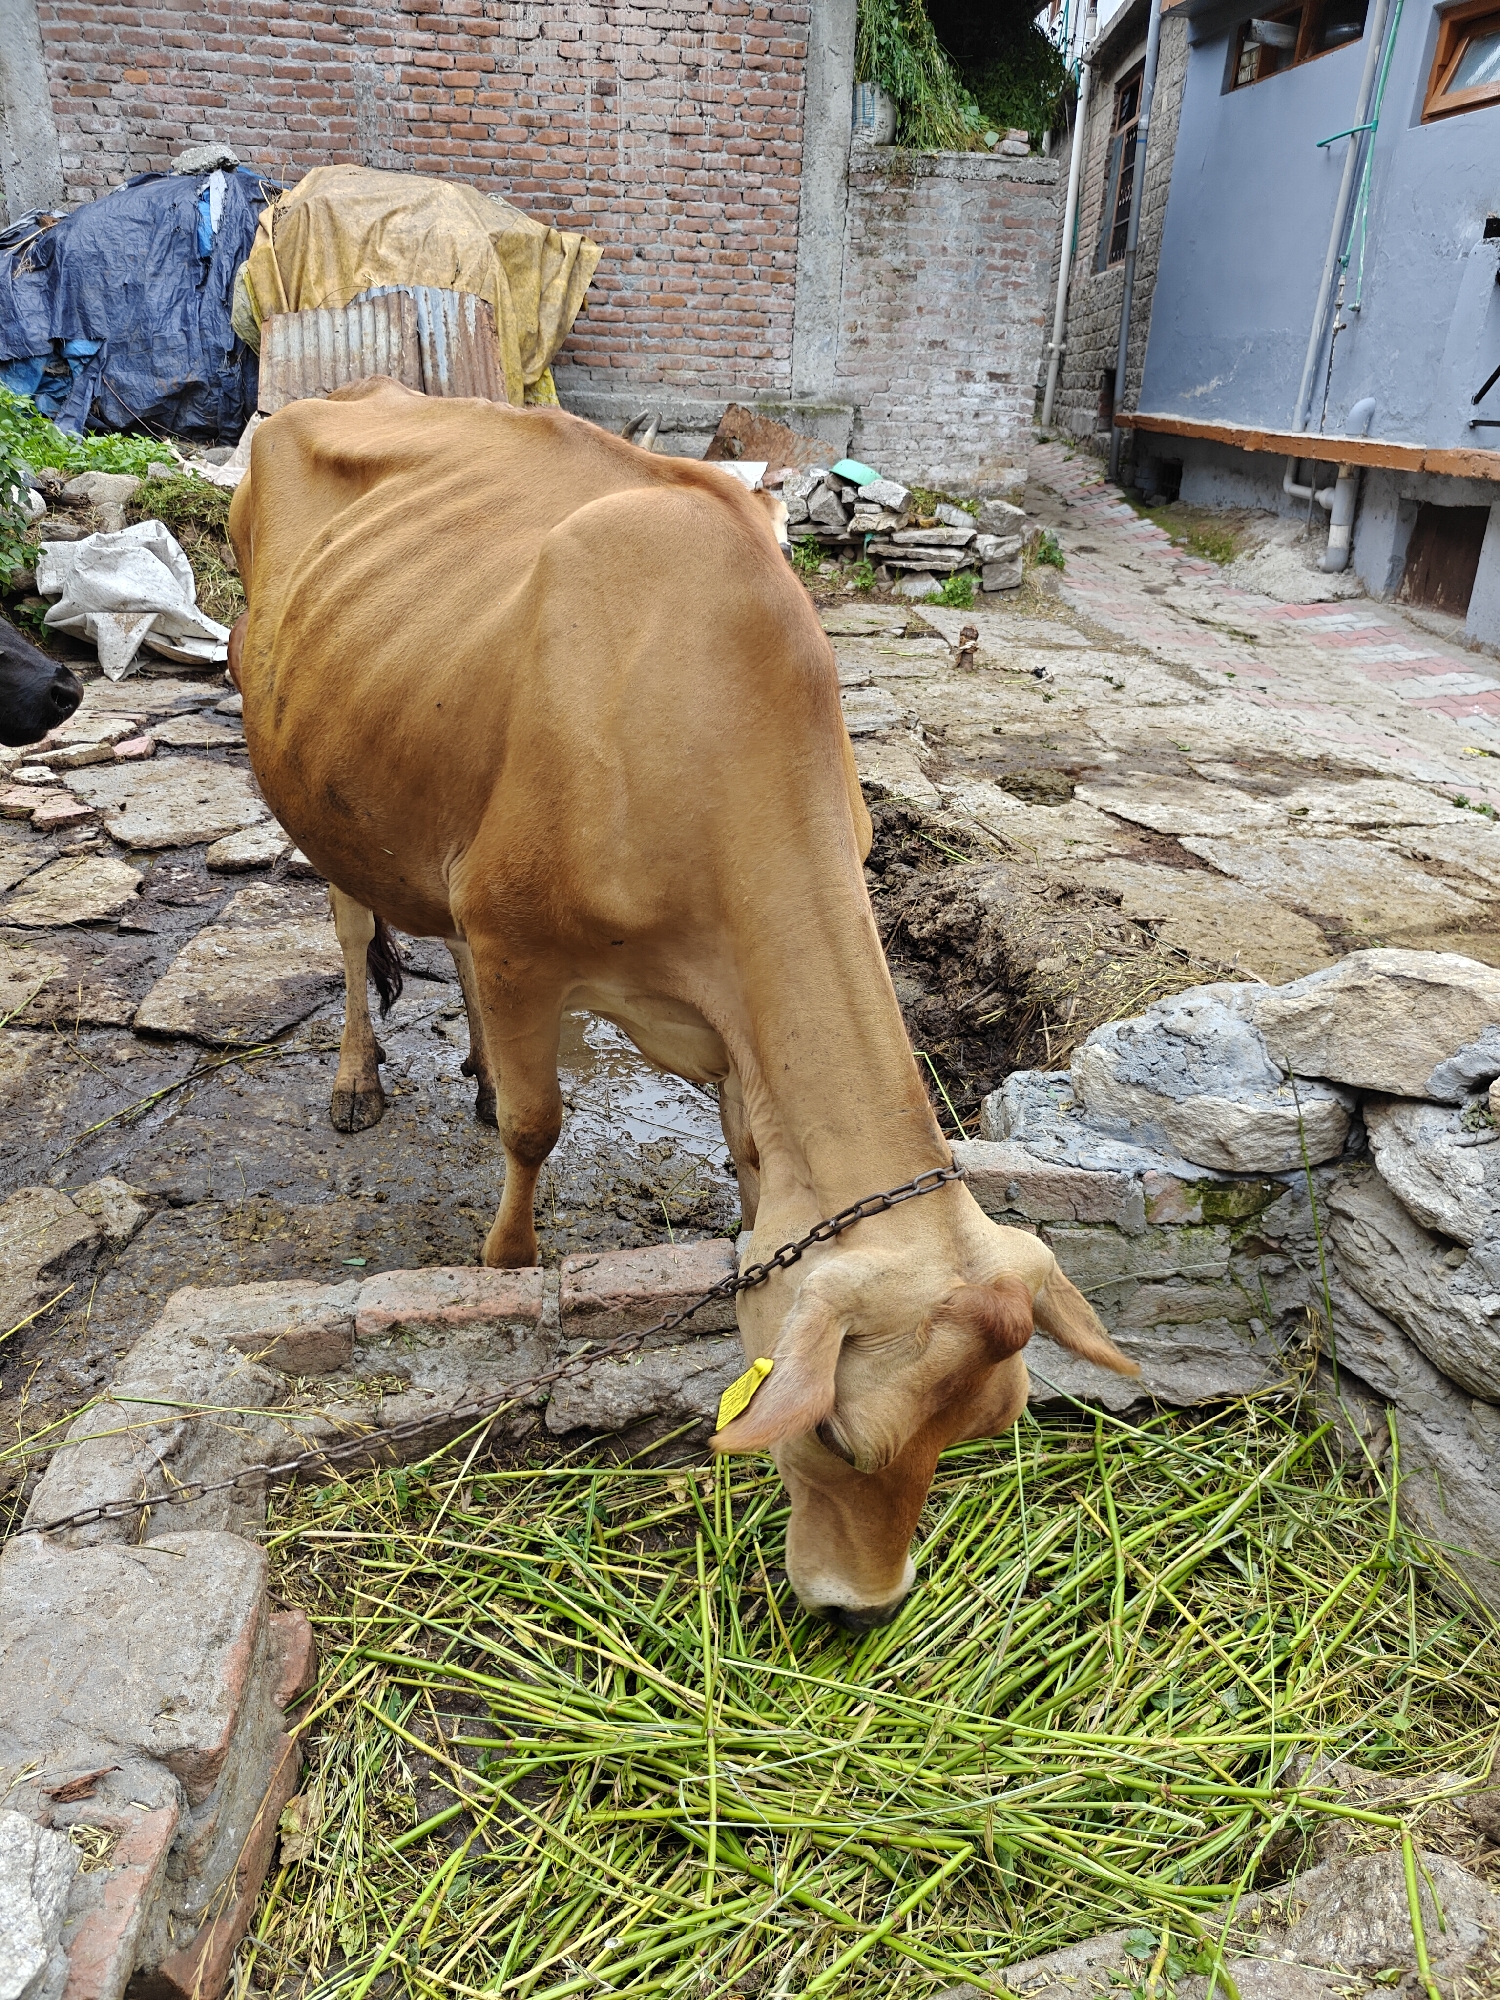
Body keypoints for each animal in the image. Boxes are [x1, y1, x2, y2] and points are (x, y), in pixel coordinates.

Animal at [228, 377, 1138, 1630]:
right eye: (838, 1436)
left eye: (981, 1430)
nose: (863, 1605)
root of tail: (342, 387)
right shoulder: (519, 939)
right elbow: (538, 1127)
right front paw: (507, 1267)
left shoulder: (716, 1016)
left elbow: (749, 1164)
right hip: (317, 789)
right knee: (356, 928)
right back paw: (360, 1077)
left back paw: (471, 1067)